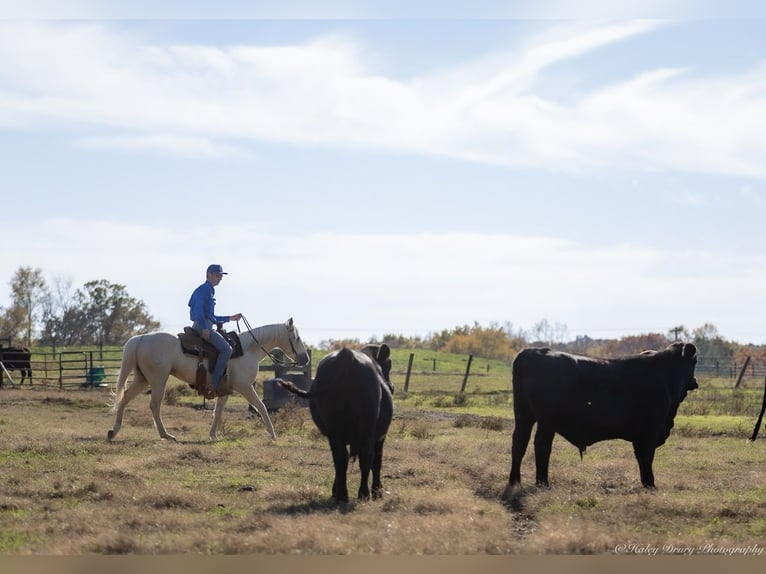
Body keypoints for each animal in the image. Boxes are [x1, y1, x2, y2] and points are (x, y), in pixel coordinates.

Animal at [107, 318, 309, 442]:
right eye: (297, 338)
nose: (305, 359)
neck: (248, 349)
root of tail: (140, 338)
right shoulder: (244, 386)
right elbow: (261, 406)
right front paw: (272, 433)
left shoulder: (226, 389)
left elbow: (218, 412)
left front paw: (213, 435)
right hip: (158, 380)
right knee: (155, 406)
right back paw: (166, 435)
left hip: (142, 379)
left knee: (124, 399)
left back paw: (113, 431)